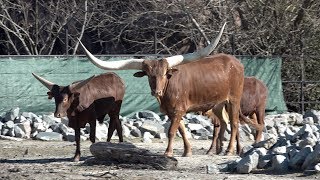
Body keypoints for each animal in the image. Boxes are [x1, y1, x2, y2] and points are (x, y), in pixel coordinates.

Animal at [80, 23, 245, 157]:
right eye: (148, 75)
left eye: (165, 74)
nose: (156, 92)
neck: (166, 92)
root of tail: (235, 62)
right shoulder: (172, 112)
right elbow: (181, 130)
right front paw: (187, 151)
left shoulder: (178, 110)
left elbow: (172, 131)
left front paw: (168, 152)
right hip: (219, 104)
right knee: (224, 122)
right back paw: (222, 150)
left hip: (234, 99)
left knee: (235, 123)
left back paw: (229, 150)